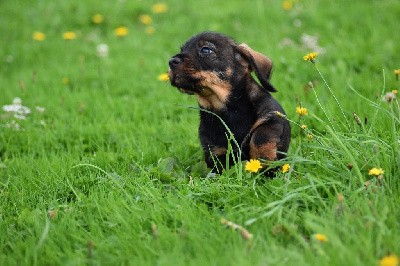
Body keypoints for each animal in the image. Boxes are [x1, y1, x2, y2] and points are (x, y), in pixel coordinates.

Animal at [169, 31, 290, 175]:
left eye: (206, 50)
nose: (171, 62)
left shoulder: (273, 118)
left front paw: (263, 160)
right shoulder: (214, 147)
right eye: (182, 50)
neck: (230, 110)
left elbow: (260, 136)